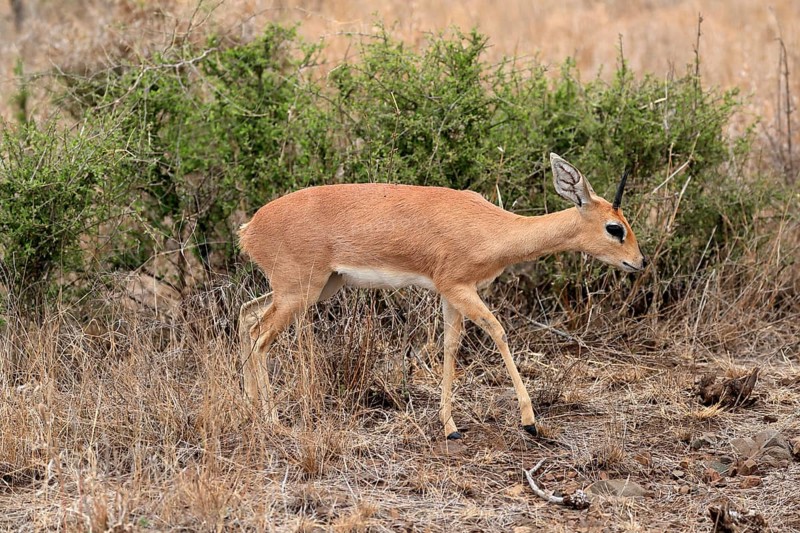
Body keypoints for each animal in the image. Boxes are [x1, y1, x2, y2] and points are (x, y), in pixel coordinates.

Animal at [238, 153, 646, 439]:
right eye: (615, 227)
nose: (639, 262)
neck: (490, 227)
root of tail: (249, 228)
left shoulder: (451, 293)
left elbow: (450, 345)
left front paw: (449, 425)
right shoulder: (458, 287)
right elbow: (497, 331)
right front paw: (529, 421)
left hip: (318, 288)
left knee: (245, 315)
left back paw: (250, 408)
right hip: (299, 292)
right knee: (259, 337)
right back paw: (273, 422)